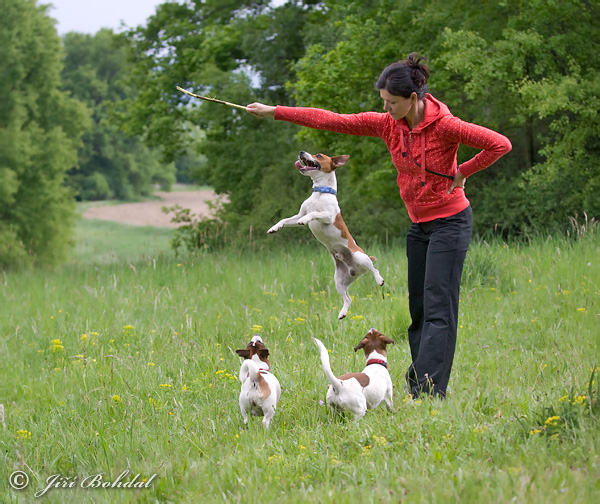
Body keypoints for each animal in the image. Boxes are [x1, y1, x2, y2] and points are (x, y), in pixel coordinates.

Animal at [268, 150, 384, 318]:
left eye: (319, 155)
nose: (301, 152)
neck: (320, 193)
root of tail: (356, 270)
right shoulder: (299, 213)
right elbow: (286, 219)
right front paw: (275, 228)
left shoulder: (328, 217)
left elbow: (314, 213)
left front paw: (305, 220)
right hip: (339, 282)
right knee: (348, 299)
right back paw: (342, 313)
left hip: (360, 257)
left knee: (374, 269)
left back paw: (379, 279)